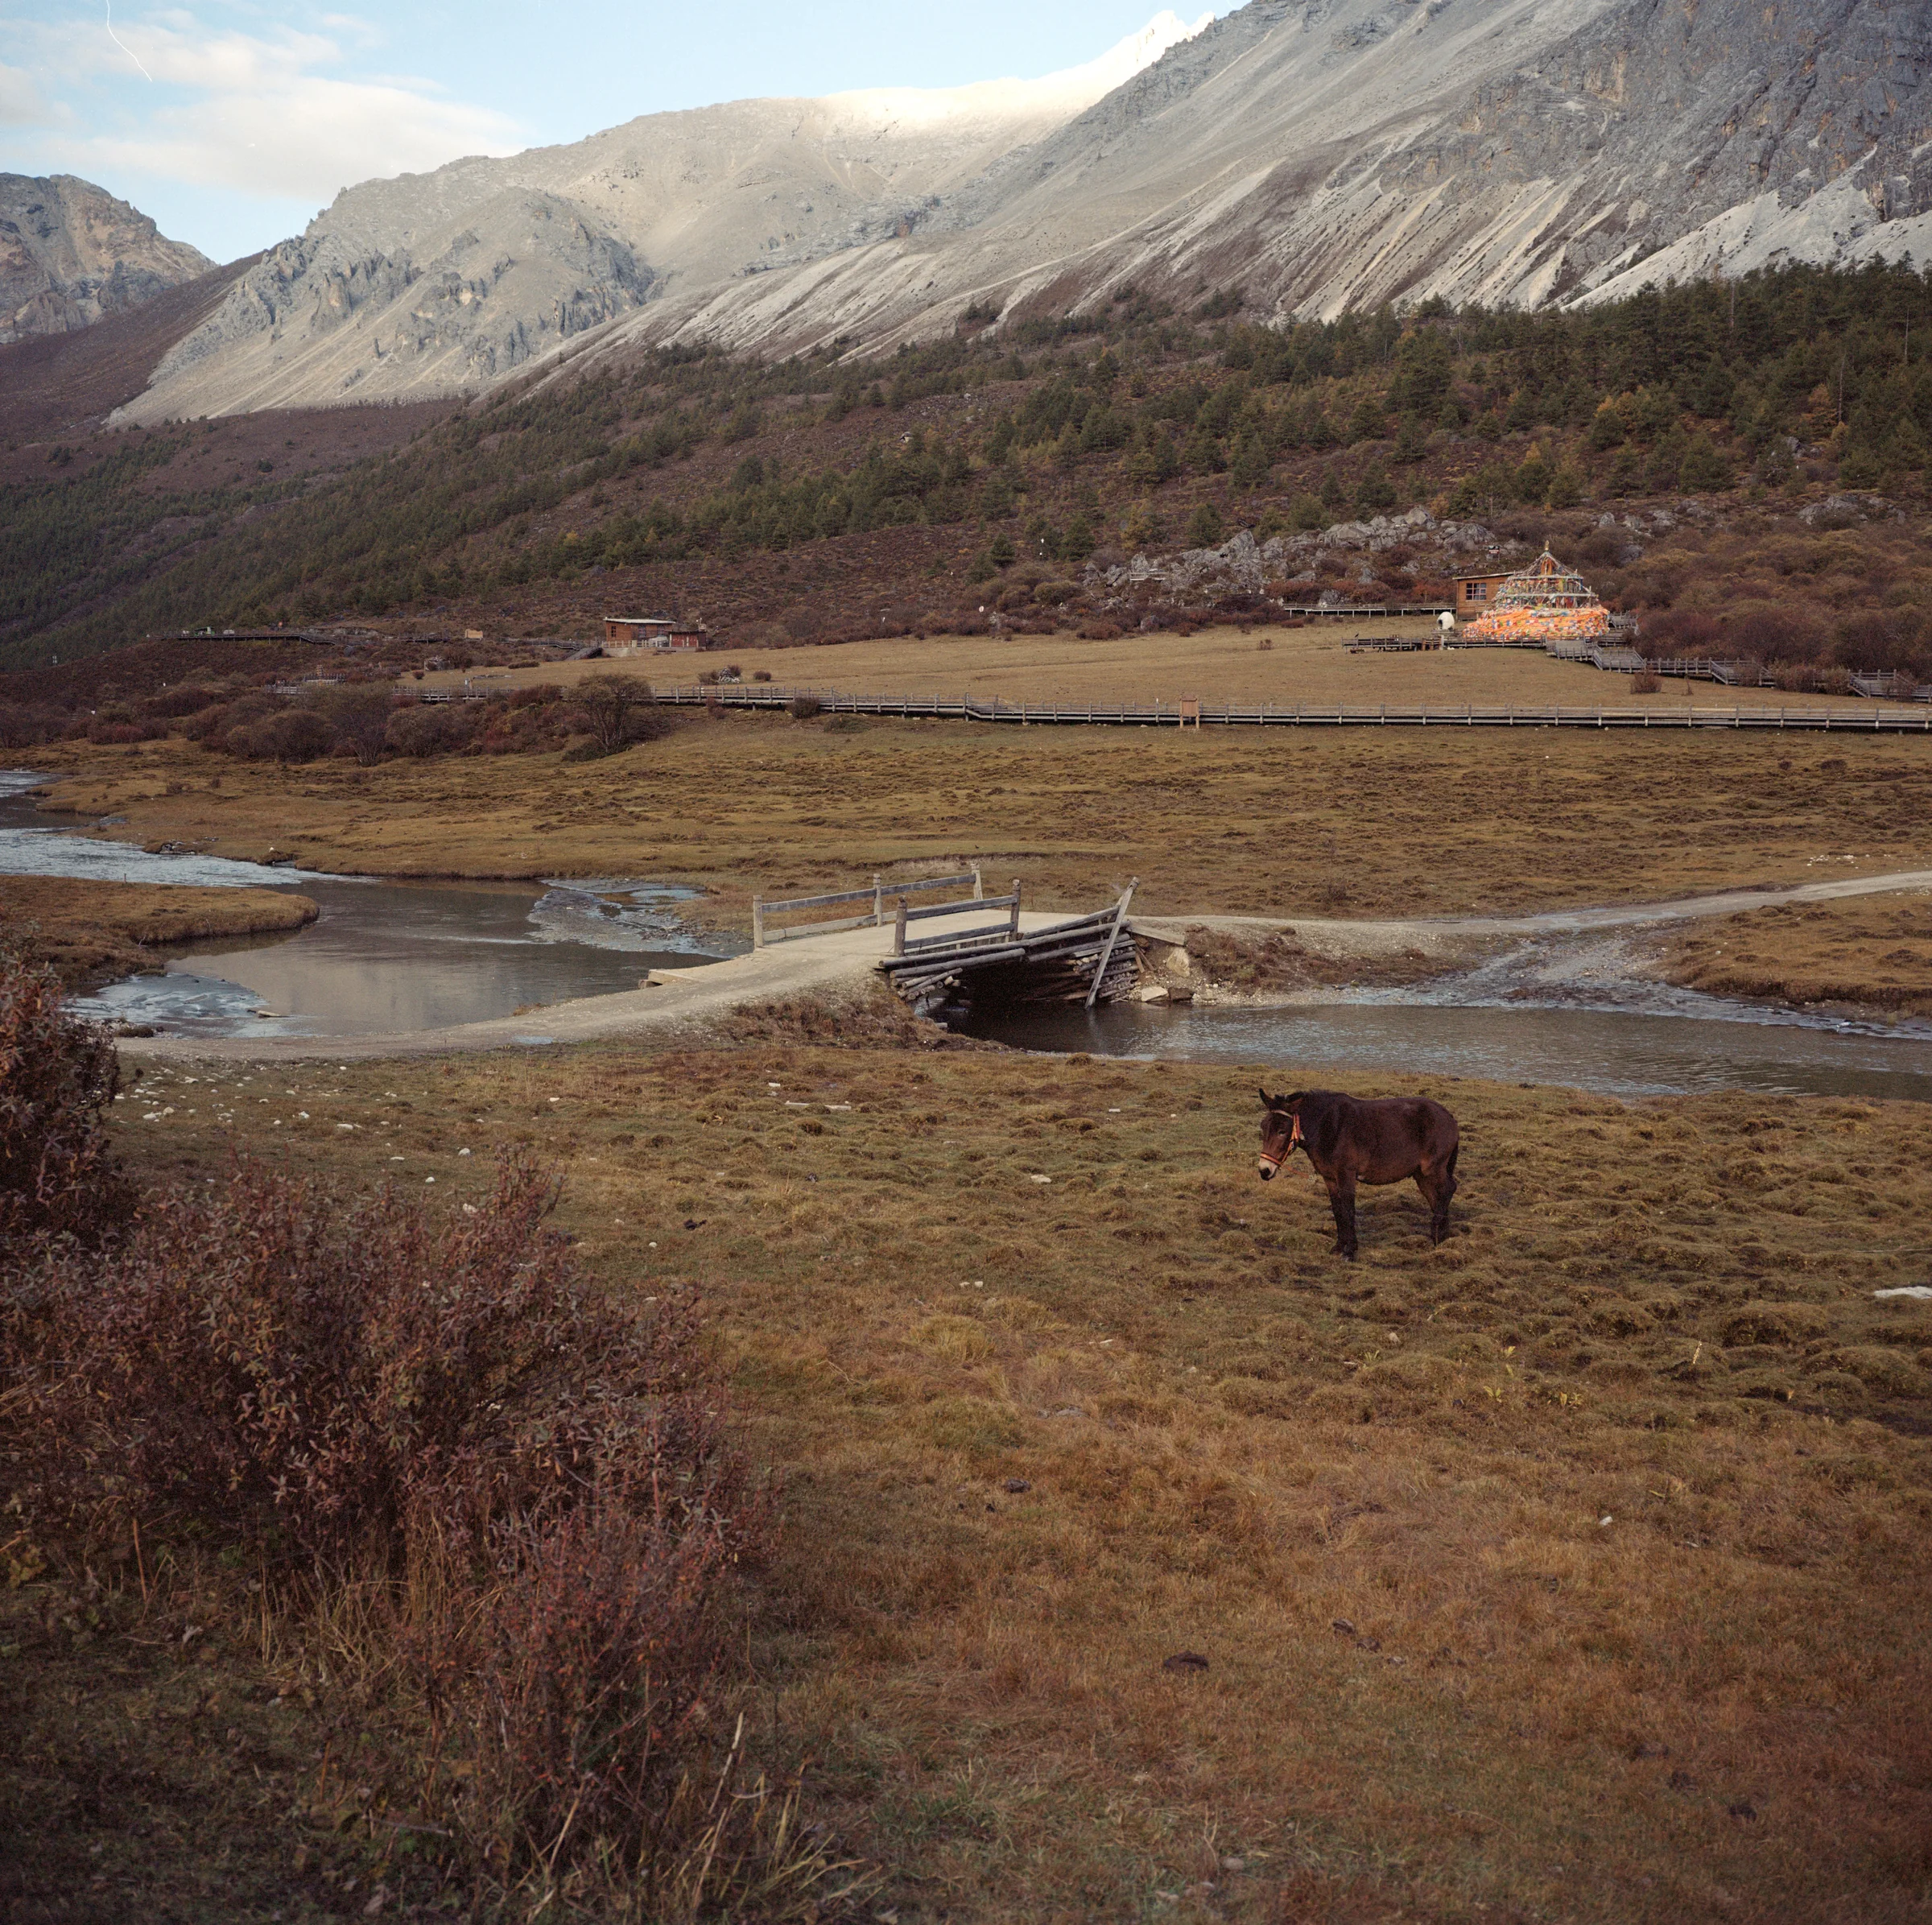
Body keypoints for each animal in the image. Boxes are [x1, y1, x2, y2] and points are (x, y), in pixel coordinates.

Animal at [1257, 1088, 1459, 1260]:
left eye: (1282, 1131)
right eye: (1263, 1127)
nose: (1264, 1170)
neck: (1329, 1127)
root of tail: (1448, 1116)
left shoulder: (1346, 1175)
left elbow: (1348, 1210)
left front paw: (1350, 1251)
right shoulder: (1330, 1178)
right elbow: (1338, 1210)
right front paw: (1339, 1247)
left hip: (1433, 1169)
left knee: (1447, 1190)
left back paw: (1436, 1233)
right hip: (1421, 1175)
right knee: (1436, 1197)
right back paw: (1441, 1236)